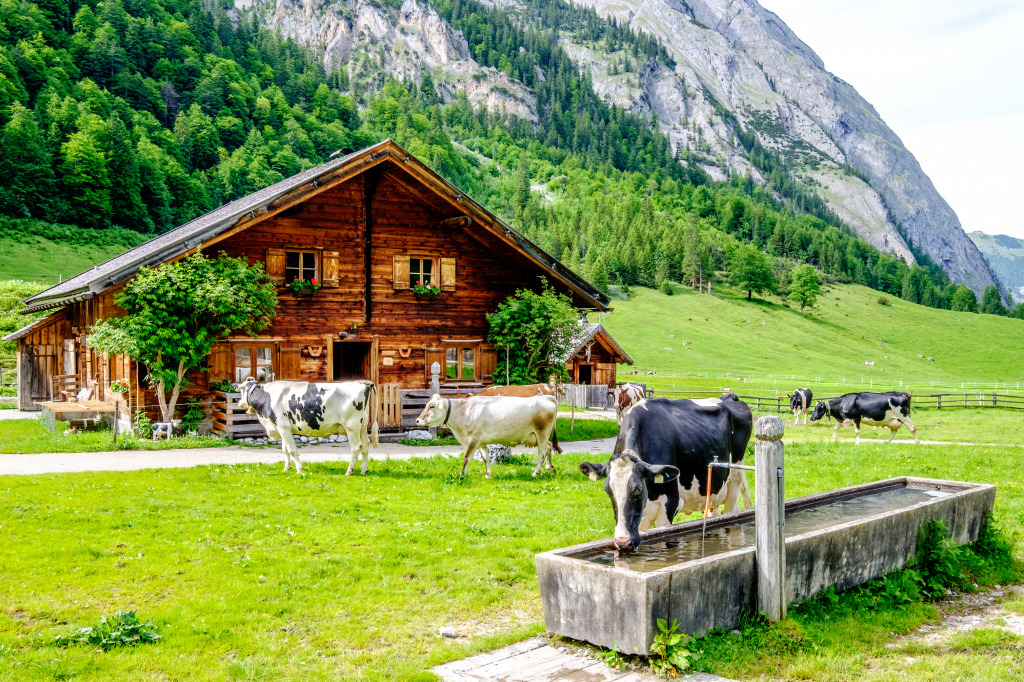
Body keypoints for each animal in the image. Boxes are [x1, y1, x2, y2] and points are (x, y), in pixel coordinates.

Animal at [238, 374, 380, 475]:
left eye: (241, 391)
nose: (239, 403)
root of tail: (363, 384)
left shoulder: (283, 427)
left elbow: (292, 450)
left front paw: (299, 470)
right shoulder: (282, 427)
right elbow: (285, 449)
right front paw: (286, 468)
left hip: (351, 426)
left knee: (356, 447)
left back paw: (349, 471)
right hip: (362, 426)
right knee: (365, 445)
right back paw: (364, 470)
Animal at [413, 393, 561, 477]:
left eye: (432, 406)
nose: (417, 420)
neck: (464, 412)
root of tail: (546, 397)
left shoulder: (474, 439)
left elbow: (467, 457)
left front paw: (462, 474)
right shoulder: (481, 441)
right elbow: (486, 458)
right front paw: (488, 474)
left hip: (542, 433)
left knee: (541, 453)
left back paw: (535, 473)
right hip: (537, 437)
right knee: (549, 447)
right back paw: (550, 468)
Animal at [581, 393, 757, 552]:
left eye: (638, 490)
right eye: (608, 491)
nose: (623, 542)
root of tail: (730, 397)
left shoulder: (671, 503)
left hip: (735, 478)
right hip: (714, 489)